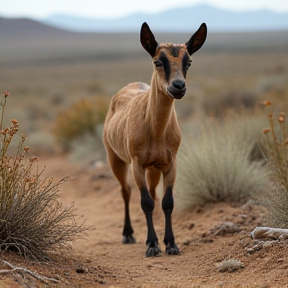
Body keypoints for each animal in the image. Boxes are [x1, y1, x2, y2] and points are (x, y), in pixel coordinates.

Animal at [103, 22, 207, 256]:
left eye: (189, 62)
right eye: (158, 61)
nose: (178, 86)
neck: (156, 131)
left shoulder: (170, 164)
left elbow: (167, 202)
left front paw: (171, 244)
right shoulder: (137, 165)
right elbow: (146, 203)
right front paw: (151, 245)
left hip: (153, 169)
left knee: (151, 193)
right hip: (116, 160)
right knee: (126, 192)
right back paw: (128, 235)